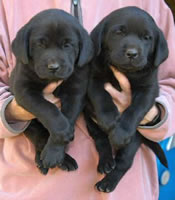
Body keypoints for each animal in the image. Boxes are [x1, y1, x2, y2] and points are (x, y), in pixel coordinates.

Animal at [9, 9, 93, 174]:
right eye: (40, 44)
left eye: (67, 45)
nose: (53, 67)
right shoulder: (23, 89)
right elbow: (49, 109)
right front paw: (57, 148)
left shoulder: (76, 92)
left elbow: (68, 116)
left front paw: (56, 151)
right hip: (29, 125)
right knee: (40, 137)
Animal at [85, 6, 168, 192]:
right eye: (119, 32)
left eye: (147, 38)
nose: (132, 53)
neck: (126, 72)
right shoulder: (93, 78)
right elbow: (101, 96)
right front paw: (109, 119)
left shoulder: (149, 89)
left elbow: (135, 109)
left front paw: (121, 132)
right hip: (90, 121)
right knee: (101, 140)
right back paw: (105, 162)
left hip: (133, 141)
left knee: (124, 163)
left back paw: (108, 182)